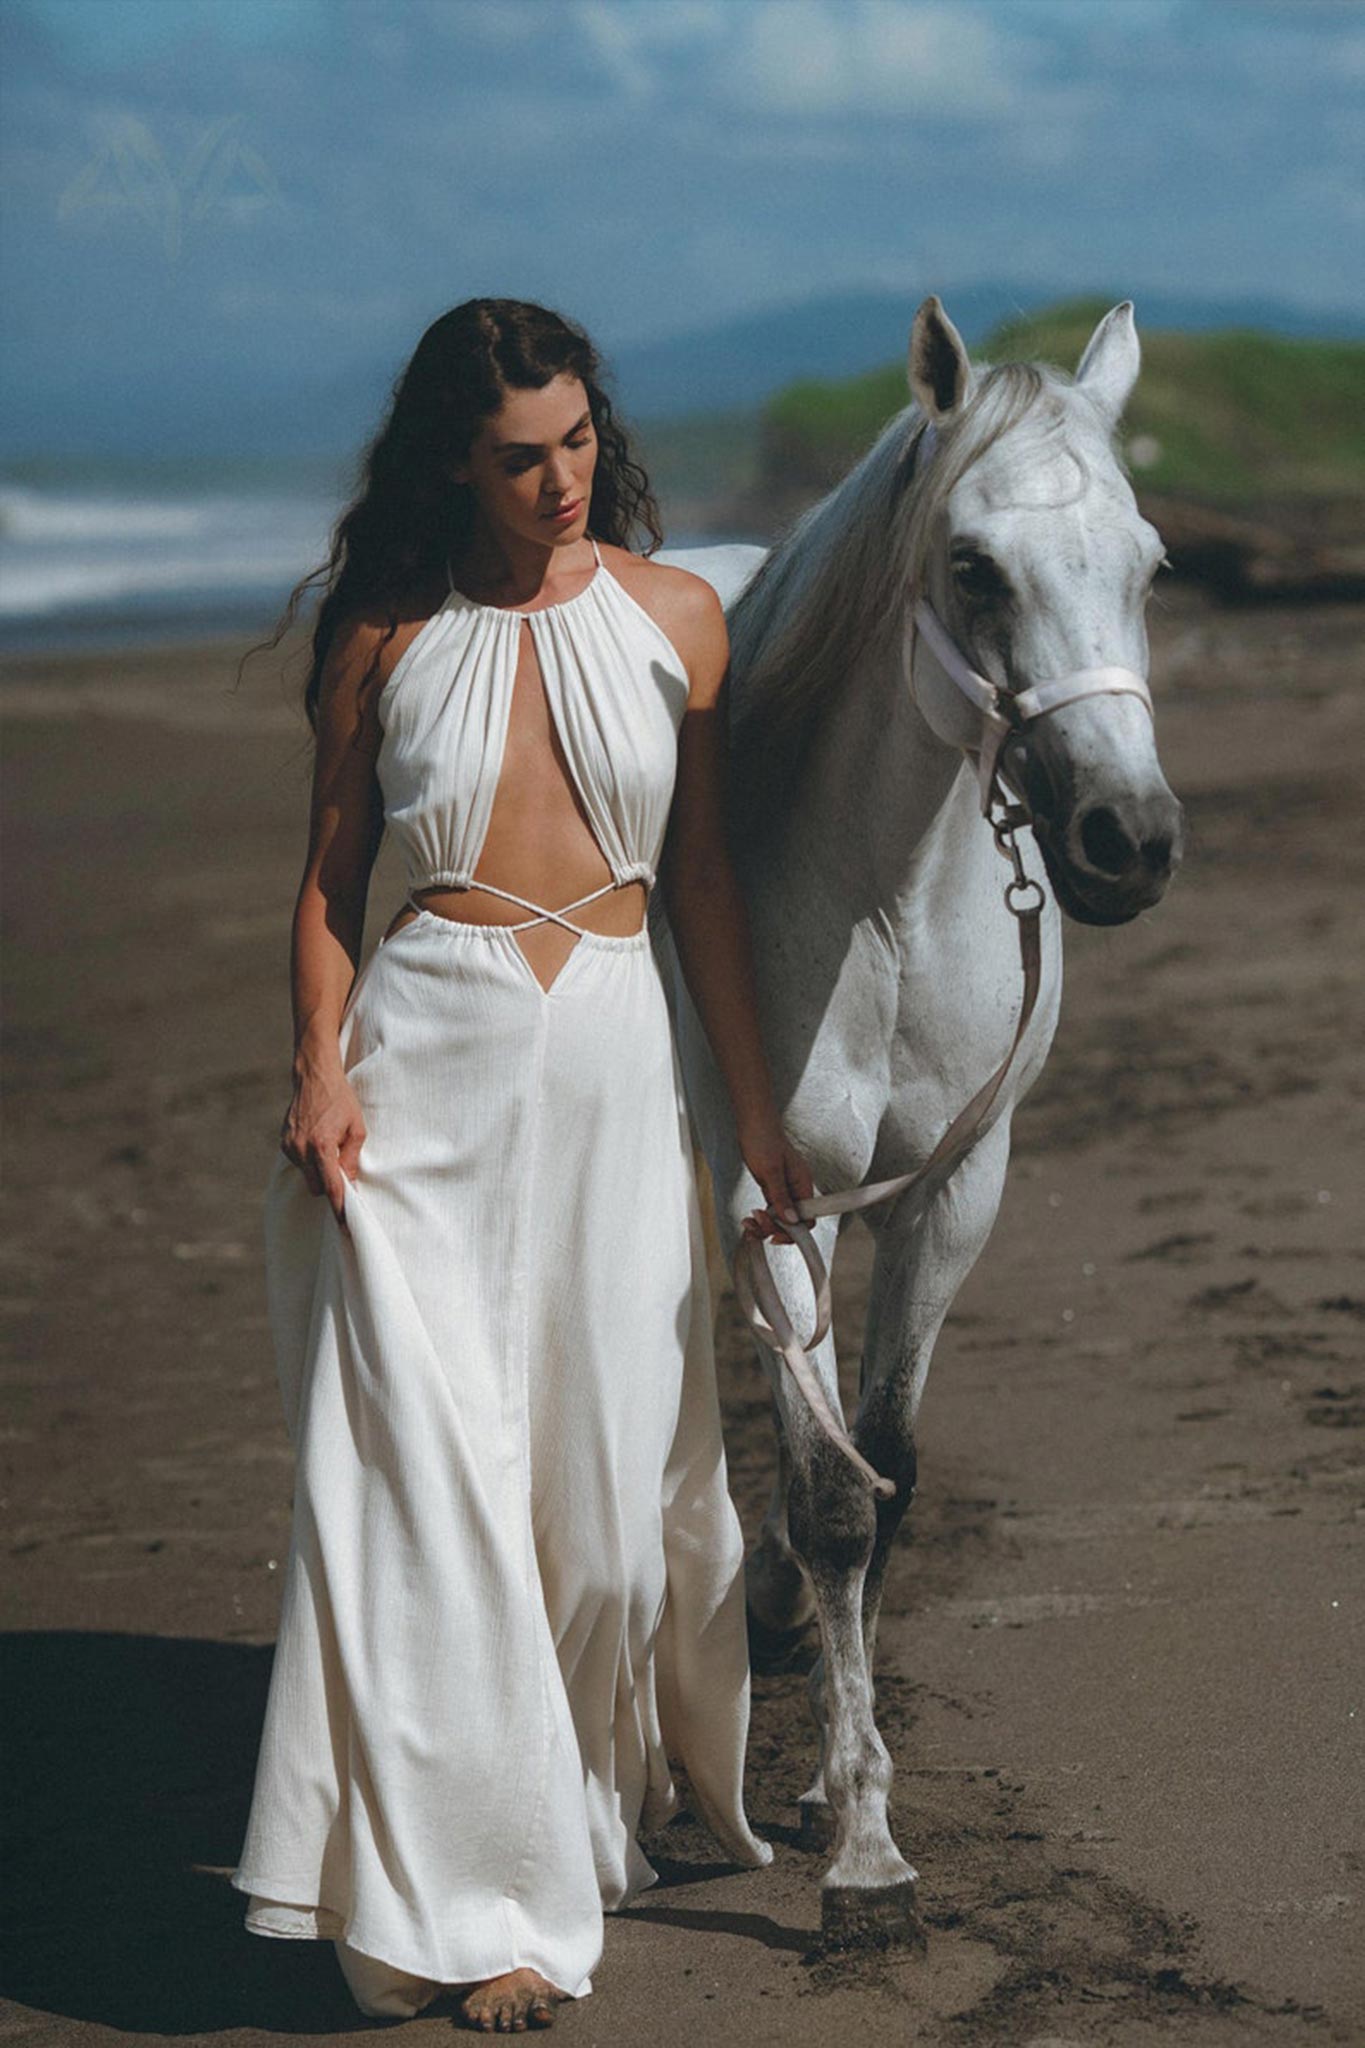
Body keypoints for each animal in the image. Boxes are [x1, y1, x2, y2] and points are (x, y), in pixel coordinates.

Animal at [654, 296, 1178, 1941]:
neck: (881, 902)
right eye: (974, 567)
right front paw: (865, 1849)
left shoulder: (959, 1191)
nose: (1128, 842)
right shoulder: (777, 1199)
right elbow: (831, 1495)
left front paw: (841, 1776)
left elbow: (884, 1477)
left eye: (1151, 564)